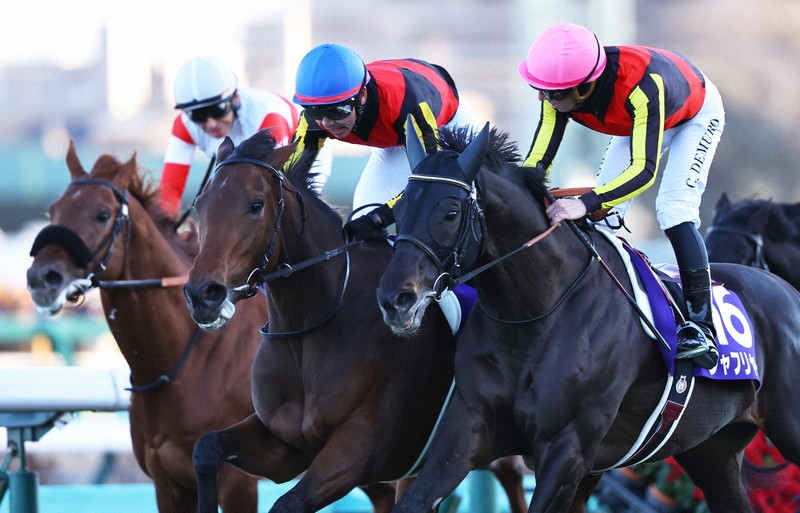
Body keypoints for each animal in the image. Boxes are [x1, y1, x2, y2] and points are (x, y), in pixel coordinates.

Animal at [182, 129, 529, 513]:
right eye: (200, 203)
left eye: (256, 205)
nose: (203, 294)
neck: (313, 325)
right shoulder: (283, 446)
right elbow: (205, 449)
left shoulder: (360, 450)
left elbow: (288, 503)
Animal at [375, 122, 800, 513]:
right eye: (399, 207)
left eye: (450, 212)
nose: (395, 299)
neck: (537, 314)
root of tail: (787, 292)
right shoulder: (469, 428)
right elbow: (414, 500)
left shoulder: (568, 449)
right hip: (712, 451)